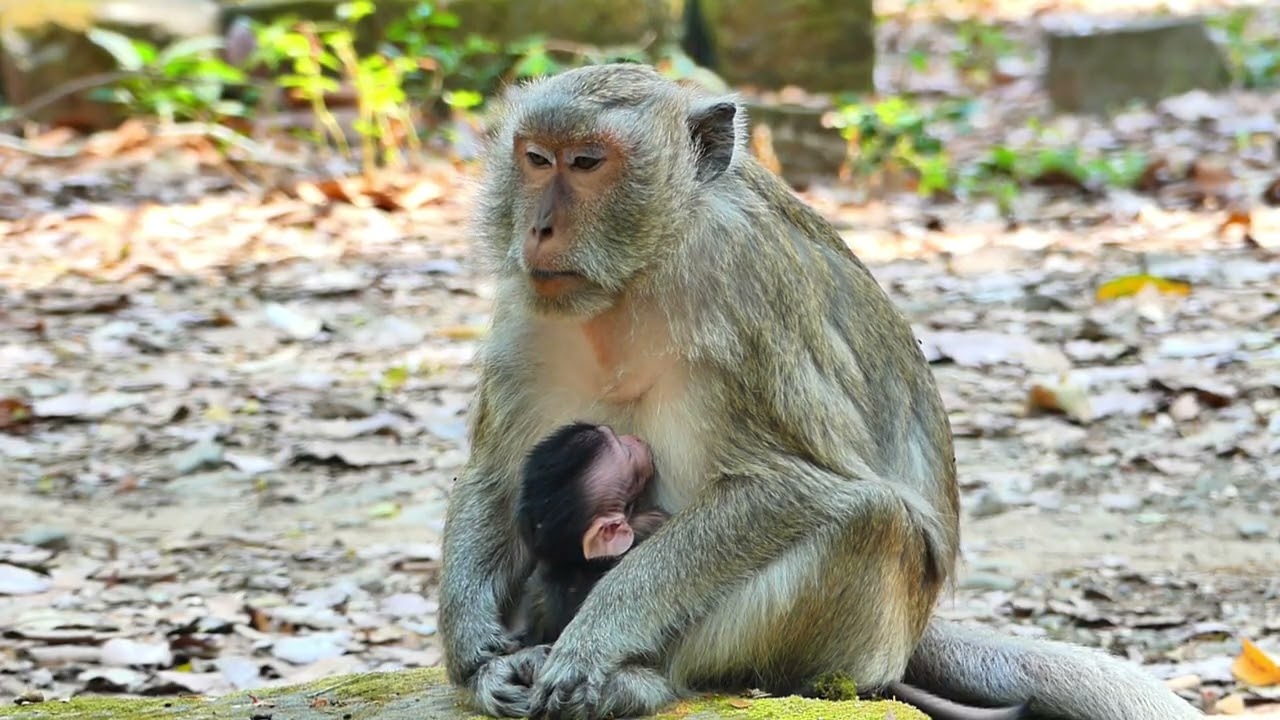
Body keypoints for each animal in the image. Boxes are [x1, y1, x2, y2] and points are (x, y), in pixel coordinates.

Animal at [436, 62, 1204, 720]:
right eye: (537, 159)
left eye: (588, 163)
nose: (538, 227)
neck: (643, 273)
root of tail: (914, 630)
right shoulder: (529, 313)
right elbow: (497, 475)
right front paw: (477, 655)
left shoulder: (746, 299)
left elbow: (800, 487)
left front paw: (595, 639)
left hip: (871, 635)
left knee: (869, 521)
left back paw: (646, 681)